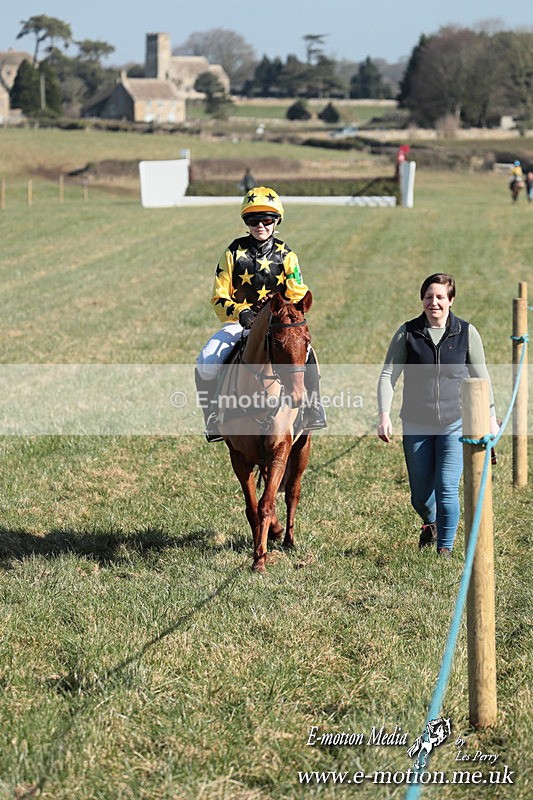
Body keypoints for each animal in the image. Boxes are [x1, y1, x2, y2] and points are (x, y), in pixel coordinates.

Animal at [217, 291, 313, 572]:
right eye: (278, 343)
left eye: (307, 341)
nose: (298, 397)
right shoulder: (239, 456)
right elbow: (252, 507)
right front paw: (261, 548)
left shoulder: (281, 448)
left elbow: (266, 504)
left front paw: (260, 557)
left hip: (303, 445)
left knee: (293, 491)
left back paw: (288, 539)